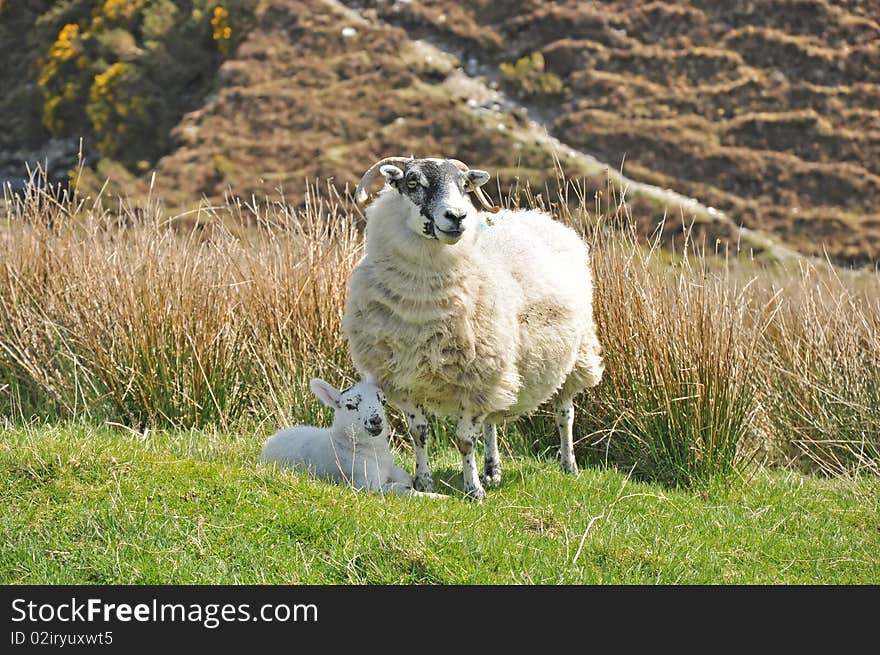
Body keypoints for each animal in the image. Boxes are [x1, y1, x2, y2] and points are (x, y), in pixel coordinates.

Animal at [258, 376, 444, 500]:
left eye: (383, 401)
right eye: (350, 406)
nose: (376, 420)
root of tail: (269, 441)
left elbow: (404, 476)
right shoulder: (366, 484)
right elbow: (399, 488)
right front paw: (438, 497)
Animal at [344, 158, 604, 502]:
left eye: (464, 186)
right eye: (412, 182)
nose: (457, 216)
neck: (422, 306)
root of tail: (538, 216)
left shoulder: (475, 377)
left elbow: (465, 440)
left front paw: (473, 491)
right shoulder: (405, 379)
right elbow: (419, 433)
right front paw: (423, 482)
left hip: (574, 355)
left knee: (565, 414)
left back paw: (568, 465)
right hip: (501, 364)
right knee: (492, 420)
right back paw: (493, 470)